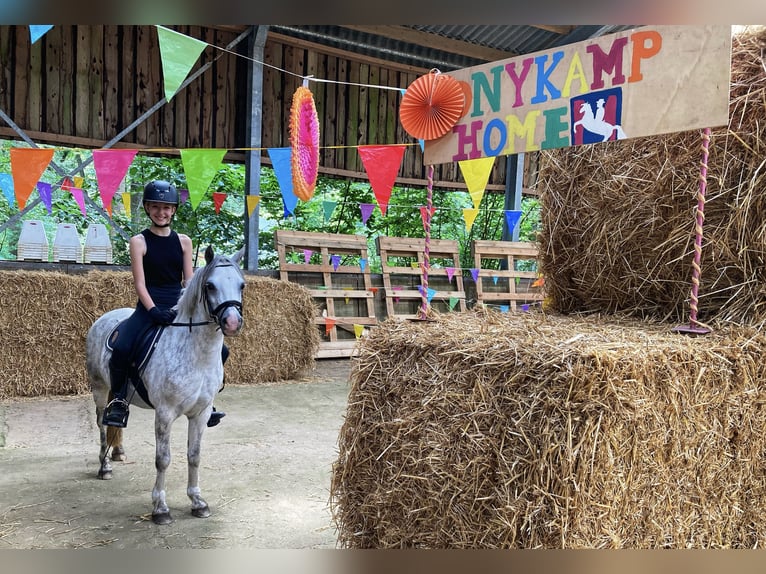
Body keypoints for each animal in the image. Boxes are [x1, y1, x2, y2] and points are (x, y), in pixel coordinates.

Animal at [86, 248, 246, 528]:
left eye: (241, 285)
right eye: (210, 285)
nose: (232, 322)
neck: (196, 353)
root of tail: (105, 317)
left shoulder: (201, 413)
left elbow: (194, 455)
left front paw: (197, 502)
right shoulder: (165, 414)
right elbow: (163, 459)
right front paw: (160, 508)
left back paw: (118, 453)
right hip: (99, 388)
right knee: (102, 424)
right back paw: (104, 467)